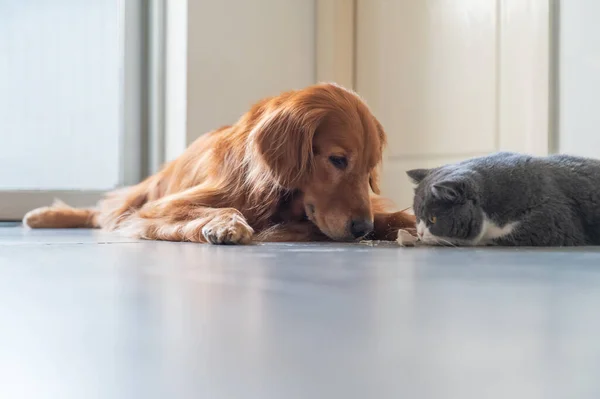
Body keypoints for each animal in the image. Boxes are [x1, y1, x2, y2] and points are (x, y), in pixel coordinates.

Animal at [24, 84, 418, 244]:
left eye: (369, 169)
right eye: (337, 160)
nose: (362, 229)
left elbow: (391, 216)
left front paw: (414, 222)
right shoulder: (160, 208)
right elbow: (221, 208)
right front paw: (225, 224)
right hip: (143, 194)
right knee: (104, 211)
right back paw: (41, 215)